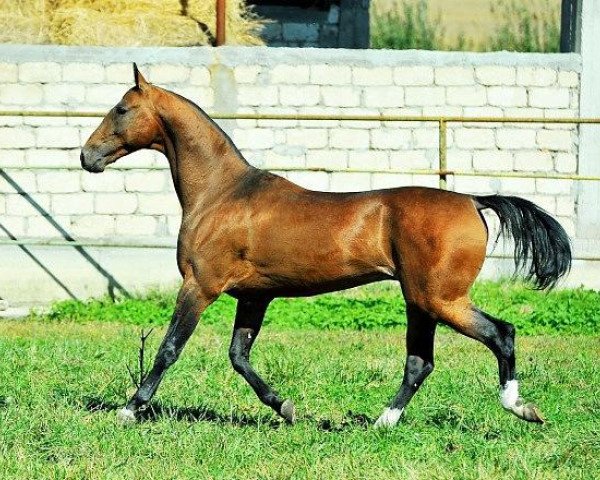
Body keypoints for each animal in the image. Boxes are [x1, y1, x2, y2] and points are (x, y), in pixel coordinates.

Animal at [81, 64, 572, 428]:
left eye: (121, 109)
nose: (87, 157)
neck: (221, 194)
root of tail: (473, 200)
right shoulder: (254, 297)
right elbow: (239, 356)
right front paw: (285, 407)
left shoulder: (200, 286)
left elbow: (170, 348)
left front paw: (130, 408)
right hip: (420, 301)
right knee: (420, 363)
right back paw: (382, 422)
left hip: (441, 299)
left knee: (500, 334)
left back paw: (521, 407)